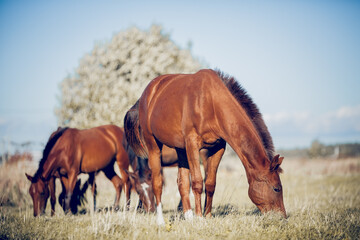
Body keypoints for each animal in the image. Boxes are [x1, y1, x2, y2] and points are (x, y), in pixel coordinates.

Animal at [125, 69, 286, 225]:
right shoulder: (192, 144)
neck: (211, 103)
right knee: (157, 182)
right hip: (154, 146)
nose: (283, 217)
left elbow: (210, 183)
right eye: (276, 188)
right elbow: (197, 182)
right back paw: (160, 220)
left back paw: (188, 217)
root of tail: (146, 94)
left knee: (182, 183)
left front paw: (207, 216)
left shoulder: (218, 148)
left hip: (180, 149)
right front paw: (200, 217)